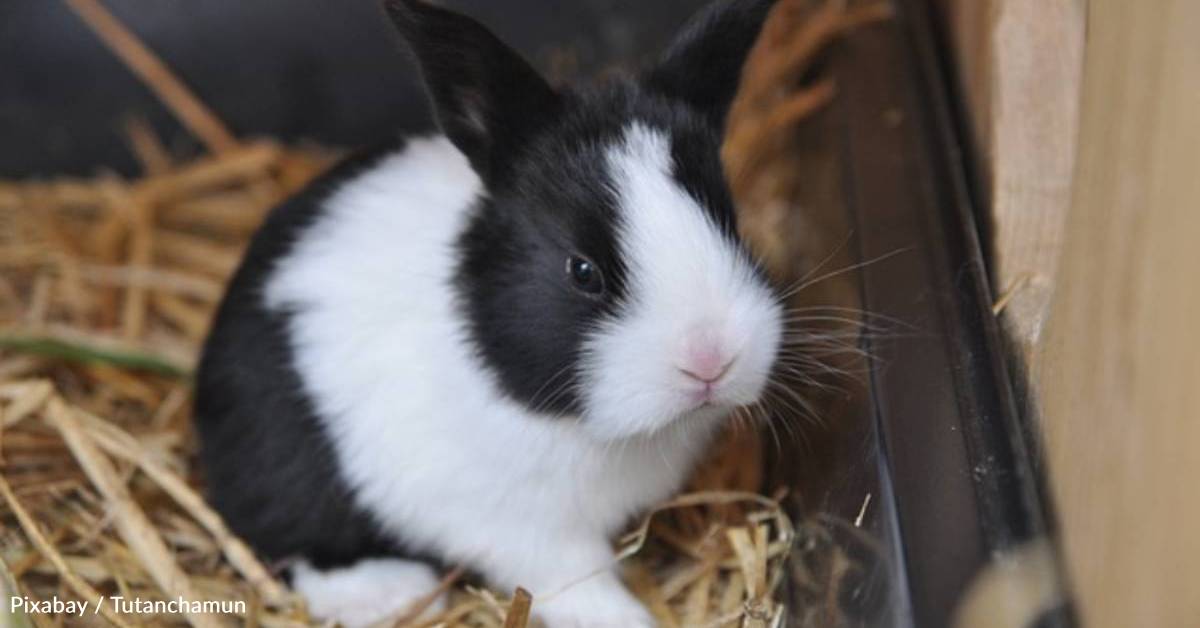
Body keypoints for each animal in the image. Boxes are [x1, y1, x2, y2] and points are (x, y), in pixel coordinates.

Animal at [194, 0, 782, 626]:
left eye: (730, 226)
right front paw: (628, 619)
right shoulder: (523, 530)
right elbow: (578, 582)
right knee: (288, 543)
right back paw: (392, 594)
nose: (712, 360)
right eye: (582, 271)